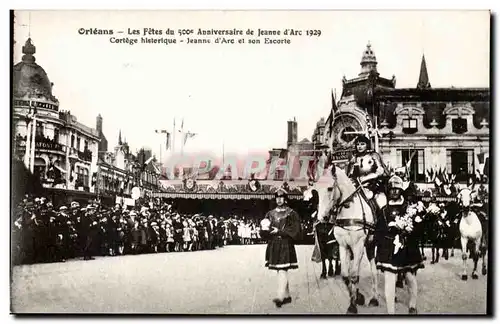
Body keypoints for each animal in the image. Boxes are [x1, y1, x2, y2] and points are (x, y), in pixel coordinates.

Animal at [316, 165, 378, 314]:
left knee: (374, 270)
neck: (349, 210)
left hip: (371, 244)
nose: (321, 218)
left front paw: (353, 305)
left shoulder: (358, 245)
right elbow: (345, 275)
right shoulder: (343, 246)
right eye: (316, 190)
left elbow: (354, 275)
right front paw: (355, 298)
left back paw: (375, 297)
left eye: (330, 188)